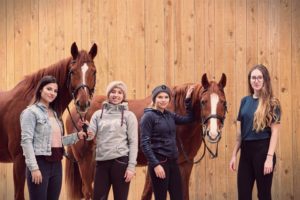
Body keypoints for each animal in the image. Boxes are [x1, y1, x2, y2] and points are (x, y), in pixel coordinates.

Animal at [64, 73, 226, 200]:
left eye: (223, 103)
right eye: (203, 102)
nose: (213, 133)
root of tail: (77, 111)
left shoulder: (185, 164)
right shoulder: (155, 165)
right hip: (85, 162)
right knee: (88, 192)